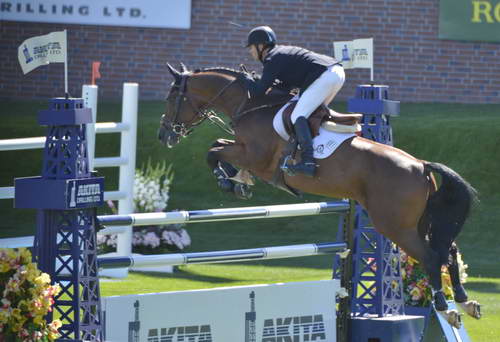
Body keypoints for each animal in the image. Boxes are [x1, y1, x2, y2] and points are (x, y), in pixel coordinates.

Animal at [159, 62, 480, 326]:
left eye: (172, 98)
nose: (165, 135)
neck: (253, 105)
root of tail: (421, 165)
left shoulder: (255, 156)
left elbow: (213, 151)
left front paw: (229, 182)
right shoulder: (244, 150)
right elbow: (218, 145)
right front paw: (237, 181)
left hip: (393, 226)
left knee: (431, 256)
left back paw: (446, 309)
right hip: (417, 222)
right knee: (449, 250)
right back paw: (465, 302)